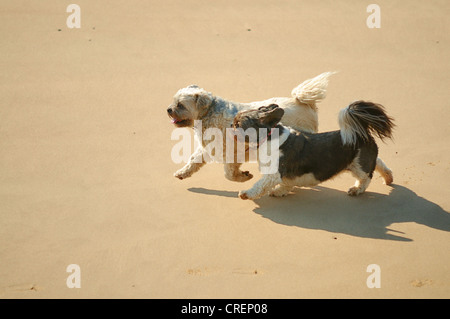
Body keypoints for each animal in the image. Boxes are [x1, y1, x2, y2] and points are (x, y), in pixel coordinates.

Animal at [167, 72, 332, 182]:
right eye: (174, 101)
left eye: (180, 105)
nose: (168, 110)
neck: (208, 114)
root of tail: (305, 103)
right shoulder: (209, 149)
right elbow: (194, 161)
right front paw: (182, 172)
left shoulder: (231, 153)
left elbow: (229, 174)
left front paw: (243, 177)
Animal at [234, 102, 396, 200]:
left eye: (238, 124)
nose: (231, 125)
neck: (269, 137)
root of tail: (360, 132)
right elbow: (286, 184)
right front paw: (279, 191)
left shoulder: (273, 173)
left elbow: (260, 185)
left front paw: (246, 193)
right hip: (361, 159)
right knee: (378, 163)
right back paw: (388, 177)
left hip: (358, 165)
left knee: (365, 177)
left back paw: (357, 189)